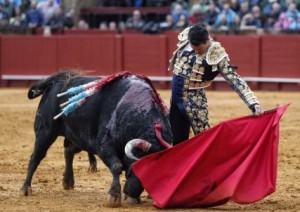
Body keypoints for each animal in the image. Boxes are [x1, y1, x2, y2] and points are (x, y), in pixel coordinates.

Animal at [19, 71, 172, 205]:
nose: (131, 192)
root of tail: (54, 82)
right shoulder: (104, 146)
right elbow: (117, 166)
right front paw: (114, 196)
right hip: (45, 132)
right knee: (36, 157)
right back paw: (25, 188)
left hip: (79, 136)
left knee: (68, 151)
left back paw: (68, 181)